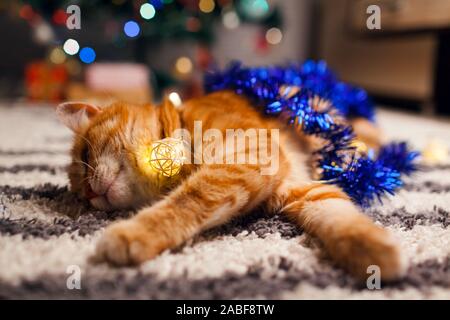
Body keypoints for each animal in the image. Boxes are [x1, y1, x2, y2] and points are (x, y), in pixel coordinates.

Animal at [55, 90, 404, 280]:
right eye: (80, 198)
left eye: (84, 154)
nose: (89, 194)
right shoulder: (304, 192)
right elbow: (341, 219)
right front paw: (375, 253)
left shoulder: (245, 157)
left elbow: (189, 200)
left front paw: (131, 234)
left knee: (364, 127)